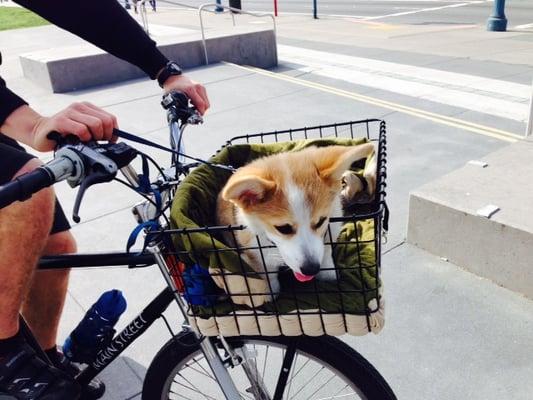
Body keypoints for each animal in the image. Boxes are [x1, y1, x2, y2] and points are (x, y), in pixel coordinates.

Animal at [216, 144, 374, 300]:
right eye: (283, 228)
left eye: (321, 221)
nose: (311, 269)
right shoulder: (257, 254)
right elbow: (269, 279)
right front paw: (271, 294)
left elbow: (326, 258)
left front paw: (329, 277)